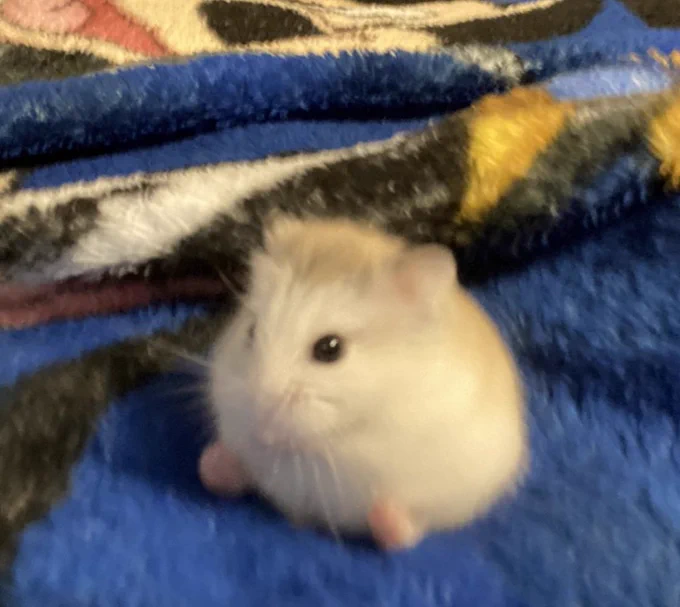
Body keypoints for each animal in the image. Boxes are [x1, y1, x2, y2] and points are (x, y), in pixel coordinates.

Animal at [199, 217, 527, 550]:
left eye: (330, 349)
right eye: (251, 331)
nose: (261, 429)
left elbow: (408, 528)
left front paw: (386, 515)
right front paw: (212, 462)